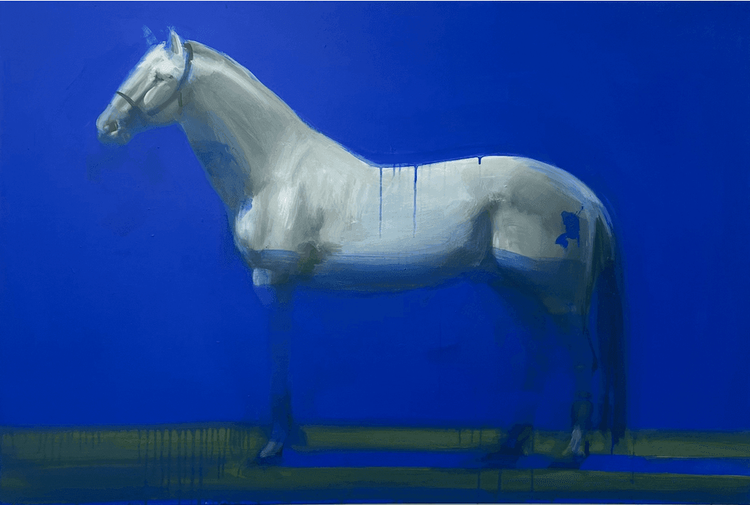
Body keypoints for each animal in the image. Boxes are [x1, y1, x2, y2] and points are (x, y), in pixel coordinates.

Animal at [97, 31, 626, 464]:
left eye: (161, 77)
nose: (108, 126)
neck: (275, 171)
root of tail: (587, 197)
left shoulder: (275, 282)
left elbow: (278, 357)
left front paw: (275, 445)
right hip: (511, 289)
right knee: (538, 355)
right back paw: (510, 444)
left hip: (558, 297)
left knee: (582, 358)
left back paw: (572, 449)